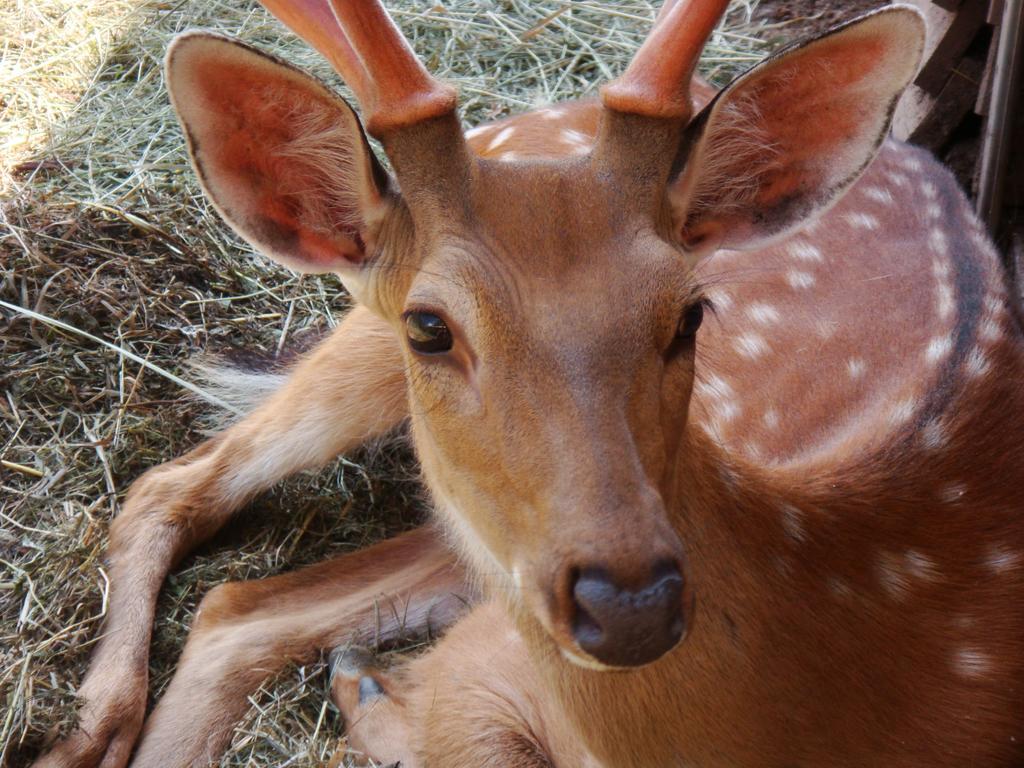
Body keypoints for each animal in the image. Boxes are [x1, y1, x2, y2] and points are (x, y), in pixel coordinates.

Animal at [29, 0, 1024, 765]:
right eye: (430, 326)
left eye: (691, 313)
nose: (630, 606)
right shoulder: (488, 661)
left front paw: (366, 688)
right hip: (366, 370)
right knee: (174, 489)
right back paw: (93, 725)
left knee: (237, 608)